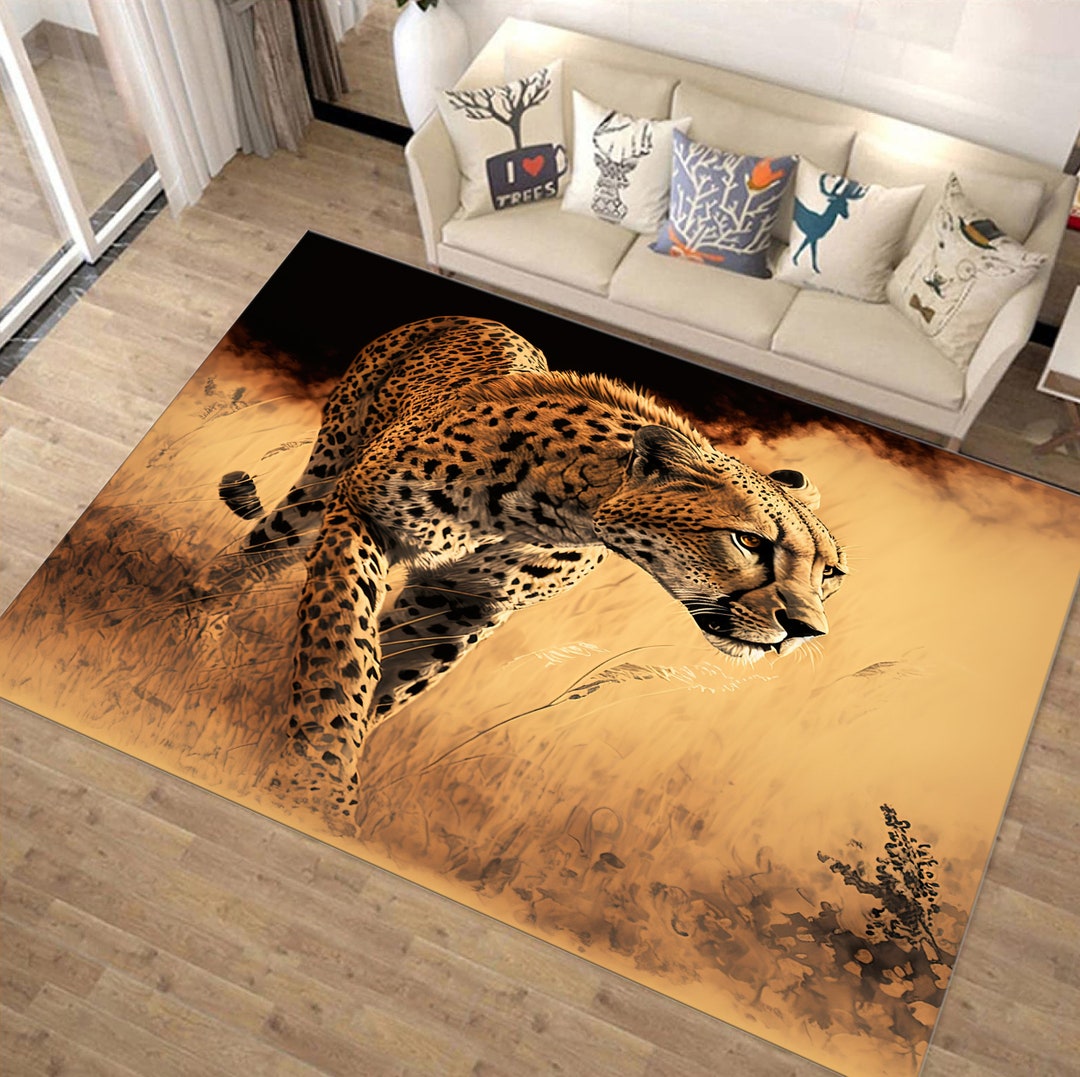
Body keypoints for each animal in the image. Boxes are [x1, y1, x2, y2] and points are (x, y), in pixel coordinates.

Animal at [219, 316, 847, 821]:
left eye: (830, 574)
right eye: (749, 541)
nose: (806, 630)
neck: (557, 503)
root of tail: (472, 314)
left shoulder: (464, 601)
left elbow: (399, 677)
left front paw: (333, 765)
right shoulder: (360, 514)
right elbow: (344, 639)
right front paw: (317, 779)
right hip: (324, 478)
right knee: (255, 553)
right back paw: (203, 627)